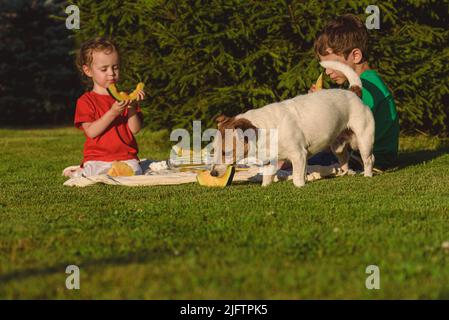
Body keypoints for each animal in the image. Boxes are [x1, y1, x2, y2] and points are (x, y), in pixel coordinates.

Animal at [212, 60, 372, 188]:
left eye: (226, 152)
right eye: (214, 150)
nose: (212, 173)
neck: (265, 128)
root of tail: (353, 91)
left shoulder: (299, 155)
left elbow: (296, 178)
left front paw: (300, 186)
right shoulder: (271, 161)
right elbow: (267, 178)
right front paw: (265, 186)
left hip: (364, 140)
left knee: (369, 159)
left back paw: (368, 175)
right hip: (337, 146)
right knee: (344, 159)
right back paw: (346, 173)